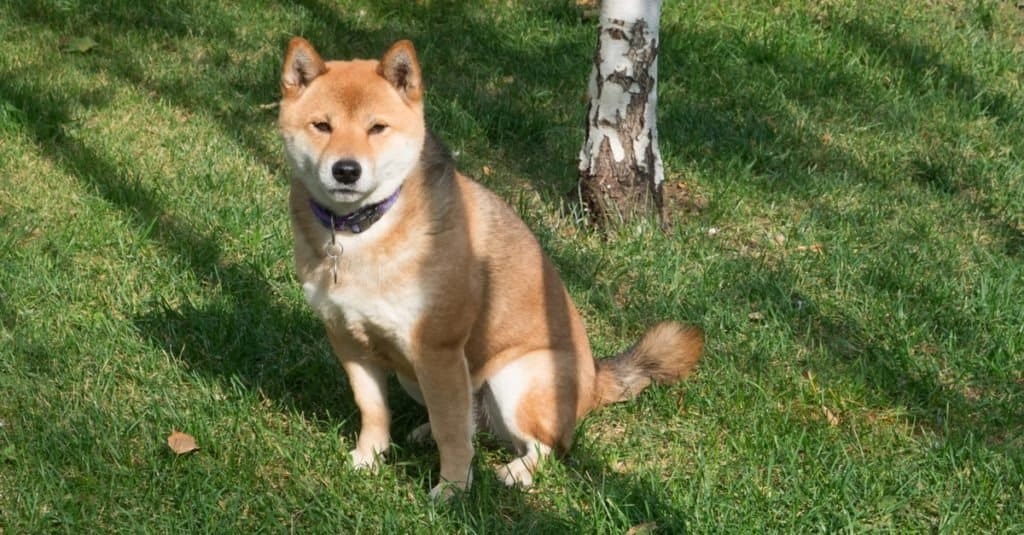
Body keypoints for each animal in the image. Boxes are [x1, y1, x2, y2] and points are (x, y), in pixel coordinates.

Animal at [278, 38, 704, 500]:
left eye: (377, 128)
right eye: (322, 126)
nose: (346, 170)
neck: (360, 230)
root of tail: (594, 380)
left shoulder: (437, 349)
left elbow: (452, 433)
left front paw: (451, 489)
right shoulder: (348, 340)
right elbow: (373, 410)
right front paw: (367, 459)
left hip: (514, 379)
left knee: (546, 446)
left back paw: (516, 473)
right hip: (425, 379)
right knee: (473, 423)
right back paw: (425, 433)